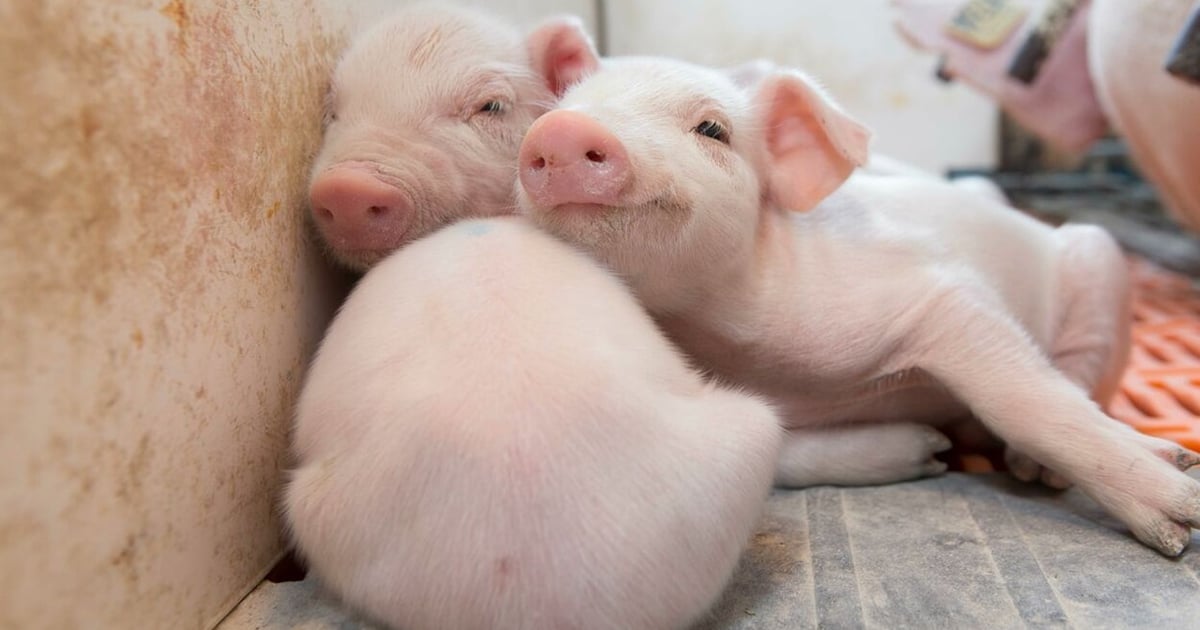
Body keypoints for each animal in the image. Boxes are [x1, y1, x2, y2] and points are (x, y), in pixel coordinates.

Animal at [514, 48, 1200, 556]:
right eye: (563, 108)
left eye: (713, 129)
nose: (565, 129)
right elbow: (781, 454)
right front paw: (929, 451)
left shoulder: (935, 291)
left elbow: (1020, 396)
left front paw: (1180, 516)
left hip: (1099, 261)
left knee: (1081, 369)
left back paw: (1043, 470)